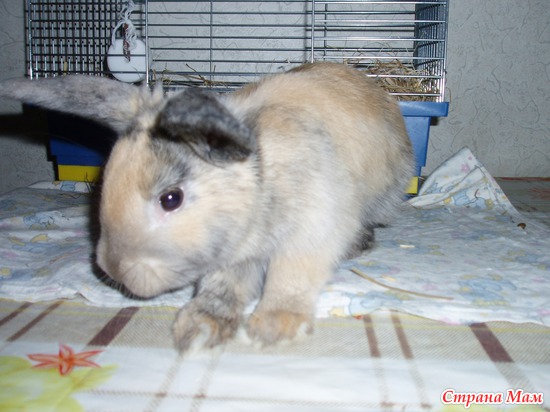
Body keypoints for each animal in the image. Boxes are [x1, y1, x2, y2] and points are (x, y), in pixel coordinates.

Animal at [1, 62, 414, 352]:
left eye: (171, 199)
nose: (114, 269)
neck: (258, 183)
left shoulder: (311, 231)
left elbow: (290, 278)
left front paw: (272, 328)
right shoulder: (232, 256)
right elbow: (221, 288)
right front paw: (198, 328)